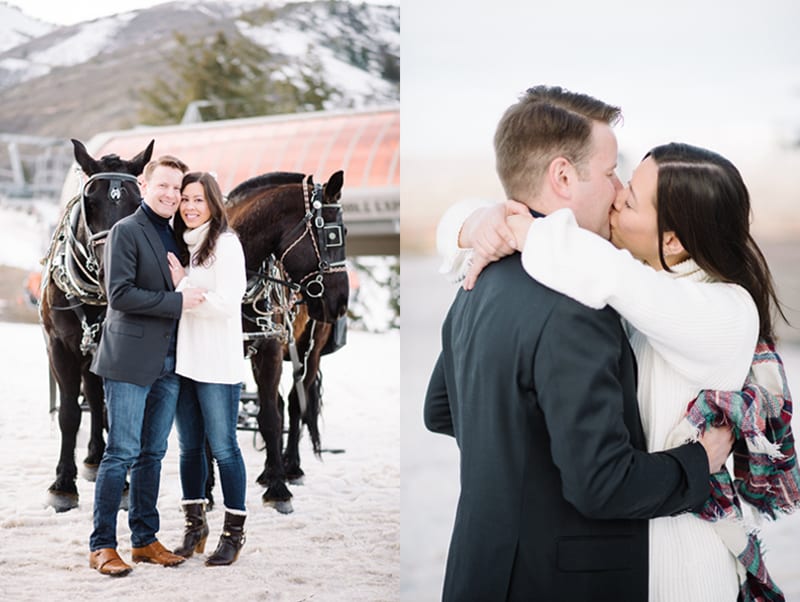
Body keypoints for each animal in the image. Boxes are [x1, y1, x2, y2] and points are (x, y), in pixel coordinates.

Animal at [40, 138, 154, 508]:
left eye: (137, 203)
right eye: (90, 202)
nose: (115, 266)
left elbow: (111, 411)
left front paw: (121, 484)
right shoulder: (59, 346)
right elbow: (69, 413)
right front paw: (63, 484)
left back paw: (96, 457)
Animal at [227, 169, 348, 510]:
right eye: (332, 235)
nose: (342, 300)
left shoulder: (268, 348)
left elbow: (270, 416)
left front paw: (278, 489)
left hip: (309, 349)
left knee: (294, 404)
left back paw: (290, 466)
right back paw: (271, 468)